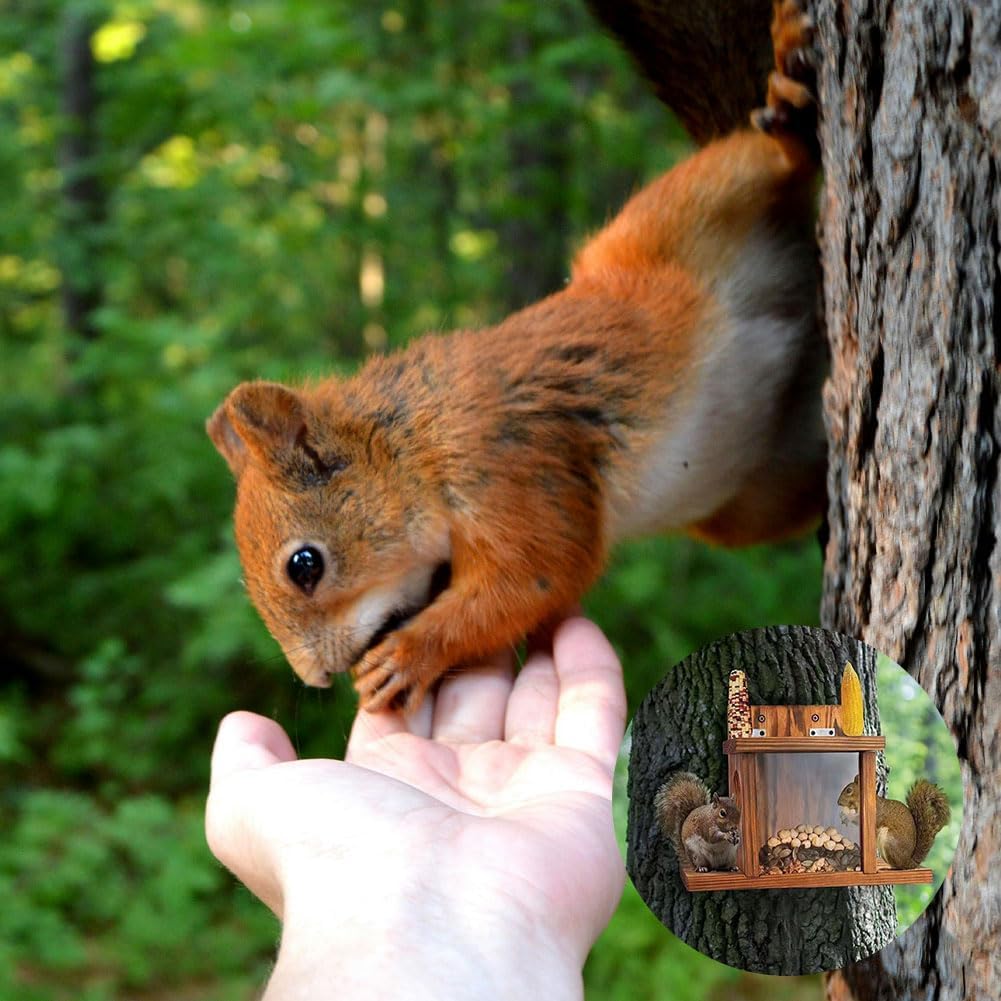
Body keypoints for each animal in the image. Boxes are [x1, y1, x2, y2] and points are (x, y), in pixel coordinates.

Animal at [207, 1, 825, 713]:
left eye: (304, 565)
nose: (315, 679)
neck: (413, 443)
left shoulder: (506, 462)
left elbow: (538, 573)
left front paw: (409, 655)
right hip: (751, 496)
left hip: (684, 209)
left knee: (769, 156)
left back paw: (786, 96)